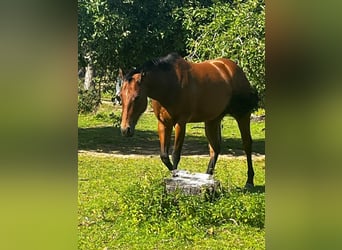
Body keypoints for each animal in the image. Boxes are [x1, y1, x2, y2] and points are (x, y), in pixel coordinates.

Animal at [119, 52, 258, 188]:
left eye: (137, 97)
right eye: (120, 96)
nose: (125, 129)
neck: (170, 84)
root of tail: (233, 68)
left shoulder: (181, 123)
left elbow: (175, 155)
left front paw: (176, 178)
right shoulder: (163, 123)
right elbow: (164, 156)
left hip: (242, 115)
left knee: (247, 144)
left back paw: (249, 181)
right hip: (212, 120)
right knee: (215, 149)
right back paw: (207, 178)